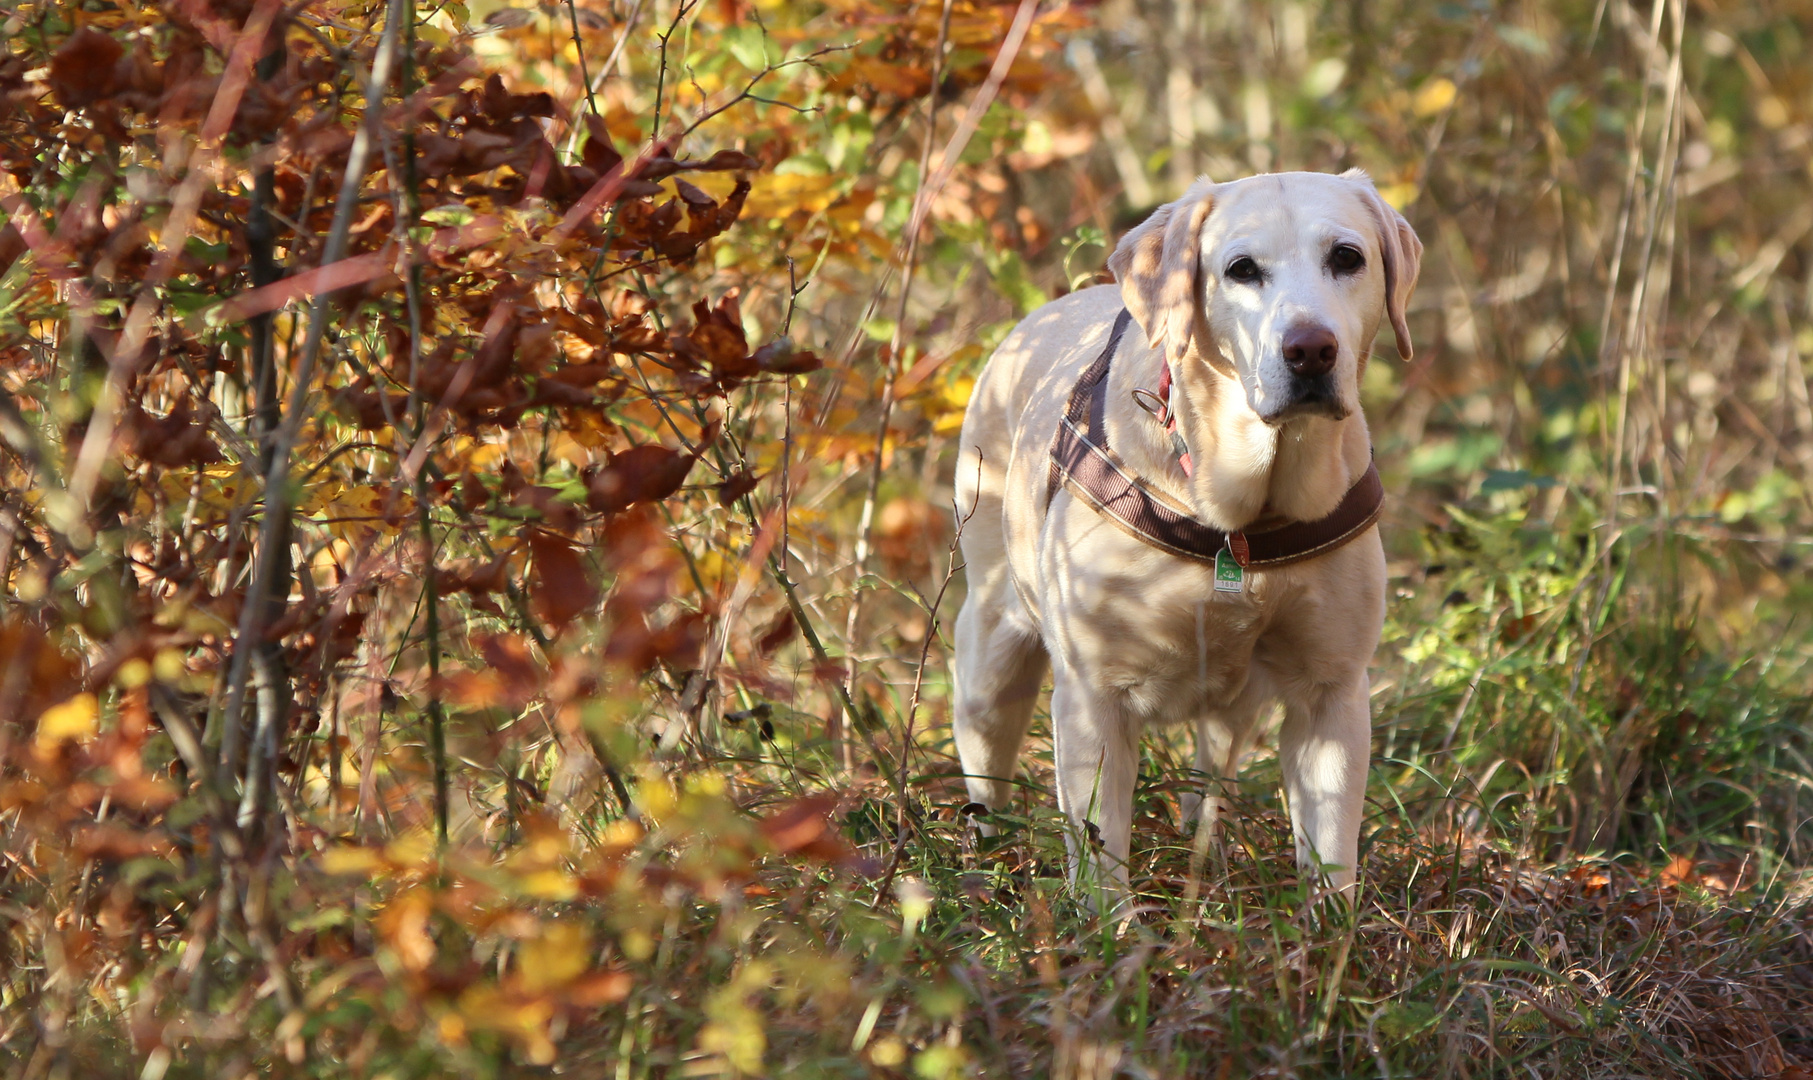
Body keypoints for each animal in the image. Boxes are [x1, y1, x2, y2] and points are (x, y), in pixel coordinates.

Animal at [950, 171, 1414, 895]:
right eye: (1241, 269)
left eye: (1347, 257)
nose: (1310, 350)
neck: (1240, 522)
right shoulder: (1092, 696)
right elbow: (1099, 853)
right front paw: (1109, 922)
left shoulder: (1331, 689)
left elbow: (1330, 854)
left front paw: (1330, 925)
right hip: (991, 653)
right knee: (987, 768)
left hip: (1235, 705)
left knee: (1210, 776)